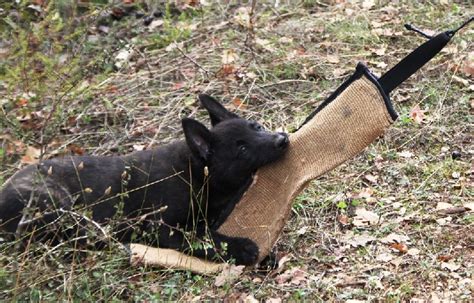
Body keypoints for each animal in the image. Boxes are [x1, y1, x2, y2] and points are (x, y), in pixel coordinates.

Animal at [0, 95, 288, 266]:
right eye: (242, 149)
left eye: (257, 127)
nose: (283, 139)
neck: (197, 174)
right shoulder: (158, 226)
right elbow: (200, 237)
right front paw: (241, 248)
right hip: (58, 203)